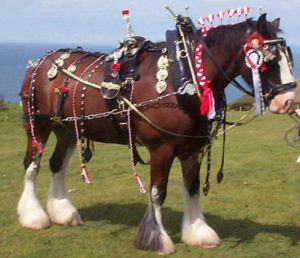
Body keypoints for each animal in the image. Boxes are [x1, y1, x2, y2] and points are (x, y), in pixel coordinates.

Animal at [18, 13, 296, 254]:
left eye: (288, 58)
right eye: (269, 60)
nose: (288, 101)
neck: (183, 76)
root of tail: (37, 63)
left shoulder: (191, 148)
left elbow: (192, 188)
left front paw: (198, 232)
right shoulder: (161, 149)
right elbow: (157, 193)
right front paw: (155, 238)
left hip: (67, 129)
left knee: (56, 165)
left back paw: (63, 212)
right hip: (38, 126)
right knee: (32, 165)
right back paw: (33, 216)